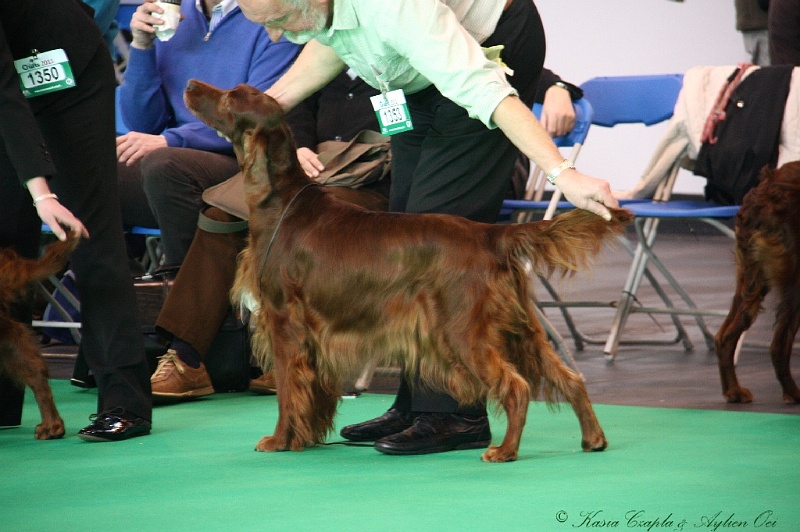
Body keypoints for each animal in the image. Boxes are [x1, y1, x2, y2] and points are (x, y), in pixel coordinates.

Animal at [184, 79, 636, 462]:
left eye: (229, 99)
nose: (190, 85)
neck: (281, 201)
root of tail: (490, 234)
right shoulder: (314, 337)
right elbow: (310, 393)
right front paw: (305, 438)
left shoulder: (283, 323)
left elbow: (286, 392)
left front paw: (279, 440)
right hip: (520, 327)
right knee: (570, 377)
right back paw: (593, 439)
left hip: (461, 330)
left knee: (516, 387)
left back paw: (504, 450)